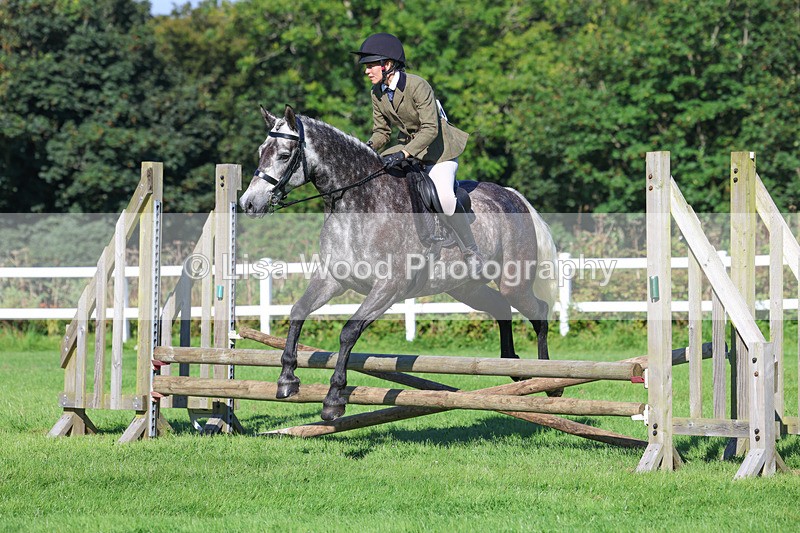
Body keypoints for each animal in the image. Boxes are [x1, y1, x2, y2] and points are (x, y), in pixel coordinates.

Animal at [240, 105, 560, 421]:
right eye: (261, 151)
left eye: (284, 155)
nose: (248, 204)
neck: (359, 203)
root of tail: (512, 195)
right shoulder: (333, 279)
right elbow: (297, 312)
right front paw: (286, 380)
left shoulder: (388, 287)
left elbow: (348, 332)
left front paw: (334, 398)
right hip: (466, 288)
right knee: (501, 308)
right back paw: (514, 368)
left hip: (513, 282)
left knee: (539, 312)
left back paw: (549, 381)